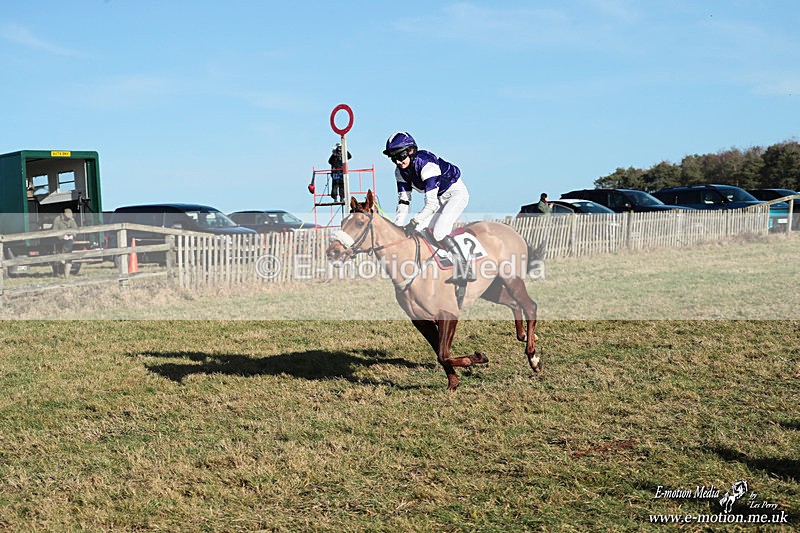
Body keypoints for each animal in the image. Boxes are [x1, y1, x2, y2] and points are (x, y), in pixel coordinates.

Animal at [325, 190, 541, 391]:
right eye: (343, 222)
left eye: (359, 223)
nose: (332, 251)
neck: (411, 264)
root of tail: (510, 230)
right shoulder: (421, 320)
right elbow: (440, 354)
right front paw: (454, 381)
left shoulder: (448, 313)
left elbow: (444, 354)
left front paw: (476, 358)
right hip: (491, 288)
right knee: (514, 304)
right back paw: (524, 336)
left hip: (511, 279)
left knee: (530, 306)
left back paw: (533, 357)